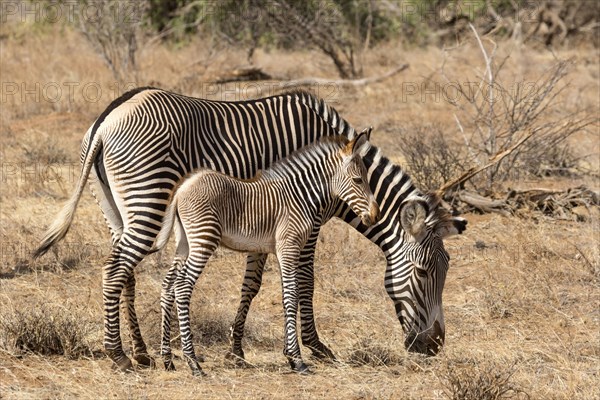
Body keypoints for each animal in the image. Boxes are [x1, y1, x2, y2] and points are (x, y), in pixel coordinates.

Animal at [31, 88, 464, 372]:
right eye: (425, 272)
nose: (435, 346)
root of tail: (106, 120)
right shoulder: (305, 222)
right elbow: (304, 282)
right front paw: (313, 346)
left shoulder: (264, 218)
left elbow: (252, 284)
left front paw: (236, 349)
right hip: (149, 197)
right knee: (116, 269)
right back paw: (118, 355)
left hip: (116, 209)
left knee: (127, 273)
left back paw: (141, 351)